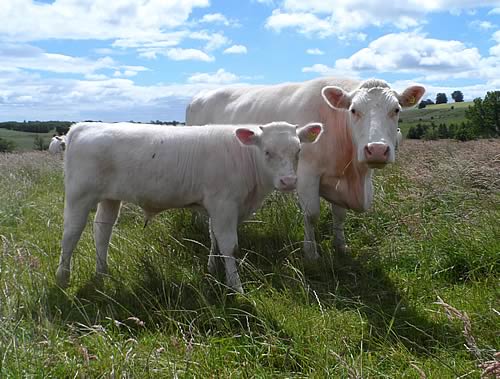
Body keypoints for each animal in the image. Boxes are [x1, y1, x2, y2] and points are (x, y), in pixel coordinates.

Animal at [54, 121, 320, 294]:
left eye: (298, 150)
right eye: (267, 152)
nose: (289, 181)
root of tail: (83, 126)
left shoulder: (218, 207)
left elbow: (214, 237)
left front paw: (213, 269)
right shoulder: (224, 204)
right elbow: (230, 245)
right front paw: (236, 287)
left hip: (110, 198)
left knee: (102, 232)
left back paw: (102, 273)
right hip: (79, 196)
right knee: (70, 234)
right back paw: (62, 277)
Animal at [186, 78, 424, 260]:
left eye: (396, 110)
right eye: (354, 110)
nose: (376, 149)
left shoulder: (340, 182)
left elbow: (339, 215)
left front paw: (340, 246)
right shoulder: (307, 174)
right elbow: (311, 215)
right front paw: (311, 253)